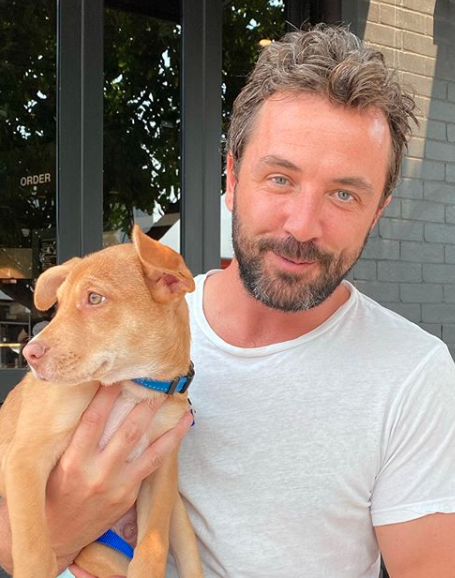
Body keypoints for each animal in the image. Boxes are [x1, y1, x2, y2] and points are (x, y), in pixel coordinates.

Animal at [0, 226, 203, 576]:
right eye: (59, 304)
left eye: (94, 298)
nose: (29, 354)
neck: (133, 387)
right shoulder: (25, 458)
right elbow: (35, 549)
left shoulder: (161, 472)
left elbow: (152, 548)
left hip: (178, 520)